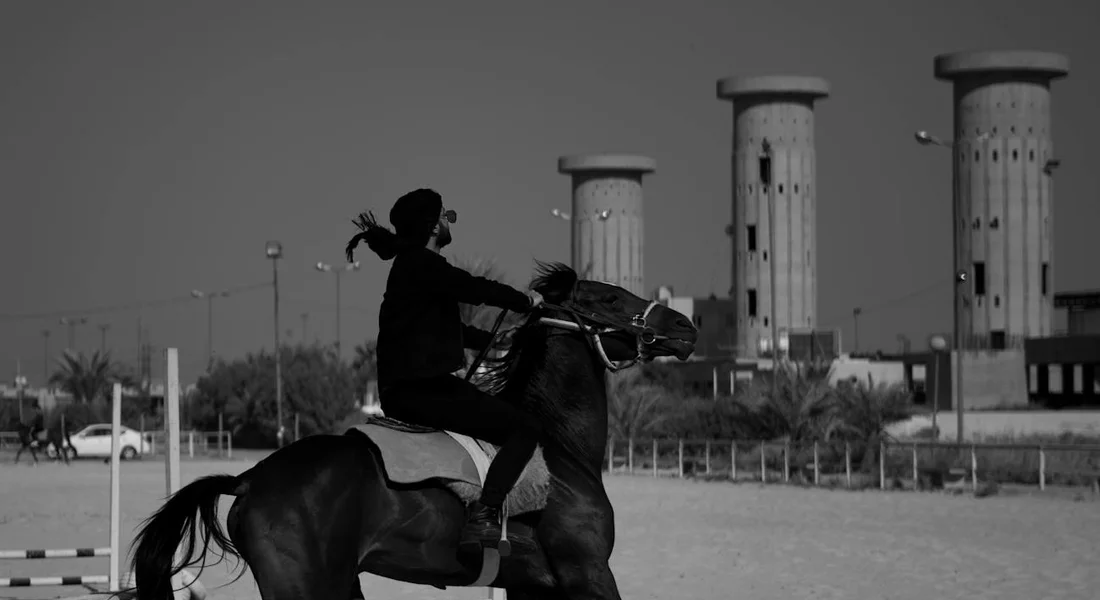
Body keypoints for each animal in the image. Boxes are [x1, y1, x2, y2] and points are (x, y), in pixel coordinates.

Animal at [130, 261, 697, 600]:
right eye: (609, 300)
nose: (685, 327)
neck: (559, 450)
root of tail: (248, 479)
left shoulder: (536, 585)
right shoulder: (589, 573)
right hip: (310, 589)